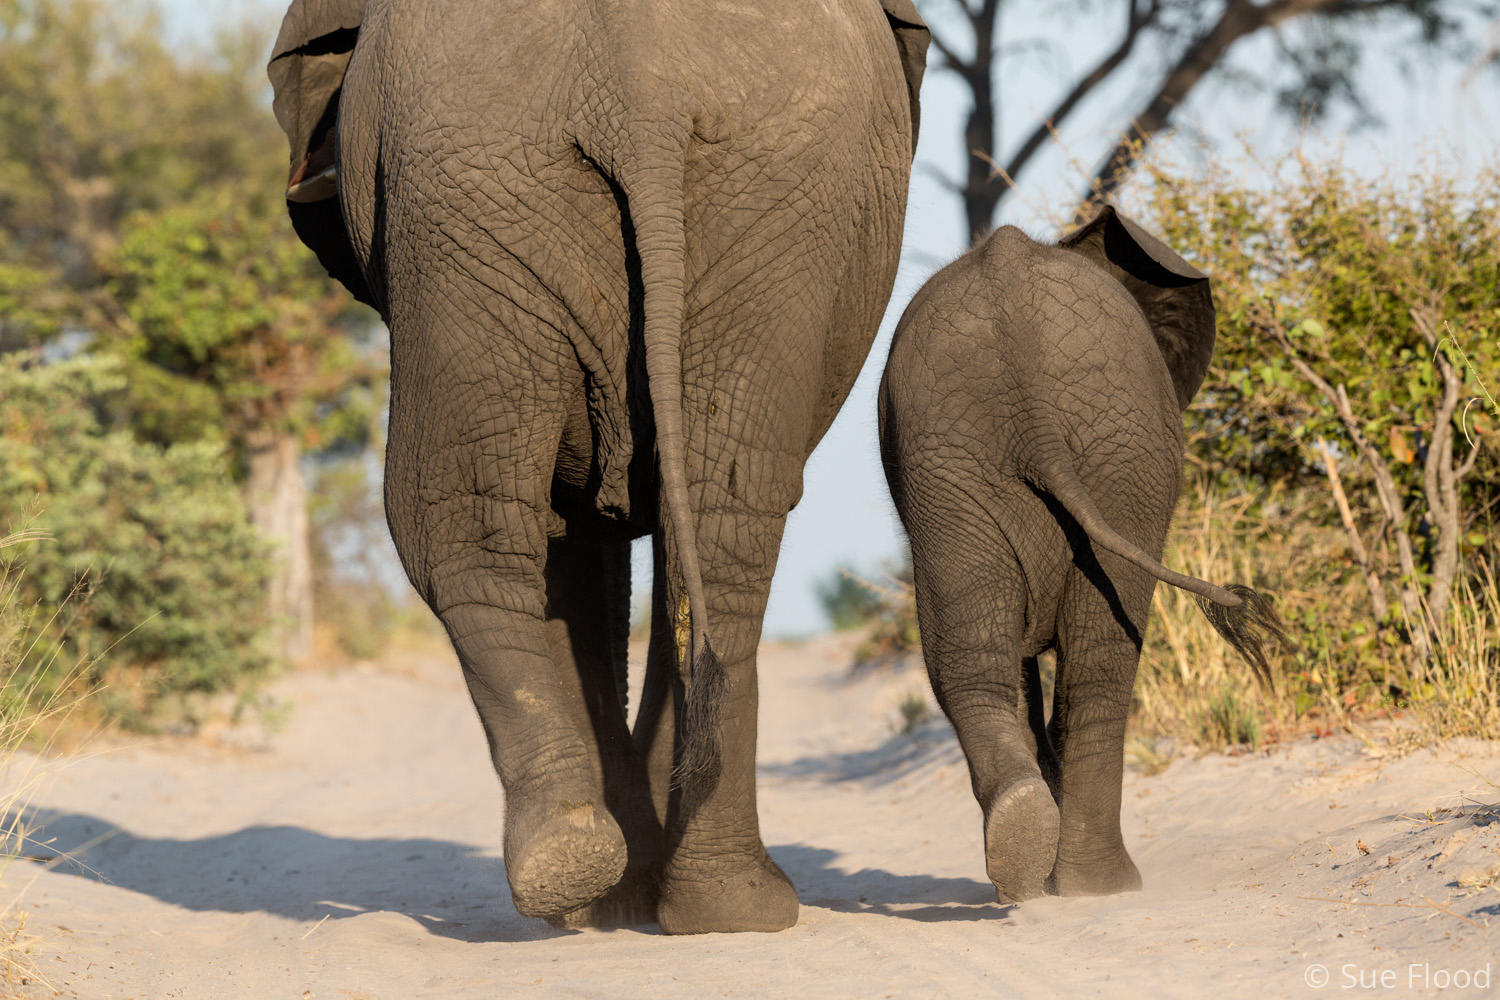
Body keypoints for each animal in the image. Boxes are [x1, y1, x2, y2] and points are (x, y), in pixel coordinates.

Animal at [270, 0, 924, 935]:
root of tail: (638, 93)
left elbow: (578, 543)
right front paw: (627, 890)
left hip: (537, 187)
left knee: (491, 517)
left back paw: (614, 881)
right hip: (497, 191)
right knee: (696, 517)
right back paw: (674, 893)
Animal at [876, 206, 1284, 905]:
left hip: (977, 459)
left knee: (981, 656)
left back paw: (1033, 855)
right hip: (1104, 454)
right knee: (1097, 664)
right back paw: (1099, 884)